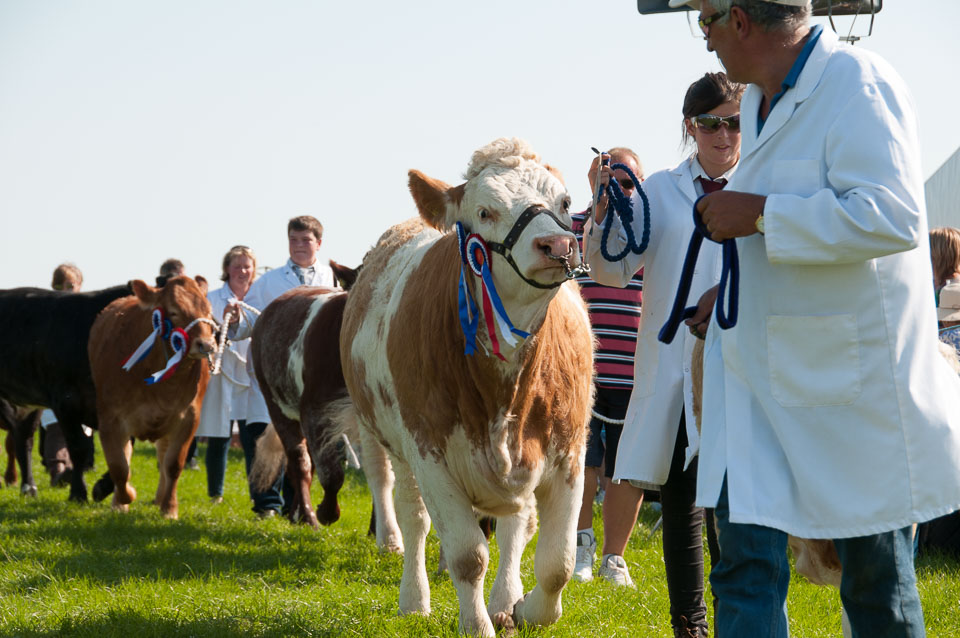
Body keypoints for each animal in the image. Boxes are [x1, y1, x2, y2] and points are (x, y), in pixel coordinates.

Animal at [0, 286, 131, 504]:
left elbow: (121, 455)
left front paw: (102, 488)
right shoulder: (65, 402)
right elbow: (79, 448)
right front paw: (78, 493)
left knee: (23, 439)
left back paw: (29, 487)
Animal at [88, 276, 216, 520]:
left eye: (208, 311)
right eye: (174, 312)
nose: (206, 344)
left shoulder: (189, 418)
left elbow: (173, 464)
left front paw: (170, 509)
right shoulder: (110, 419)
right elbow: (119, 466)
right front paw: (125, 497)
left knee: (163, 457)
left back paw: (160, 498)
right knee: (127, 456)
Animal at [338, 138, 592, 636]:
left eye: (565, 202)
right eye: (485, 211)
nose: (557, 245)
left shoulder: (570, 453)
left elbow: (558, 562)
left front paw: (525, 610)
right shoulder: (430, 452)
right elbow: (466, 555)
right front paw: (476, 625)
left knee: (517, 527)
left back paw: (506, 598)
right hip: (388, 441)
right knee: (412, 518)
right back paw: (414, 599)